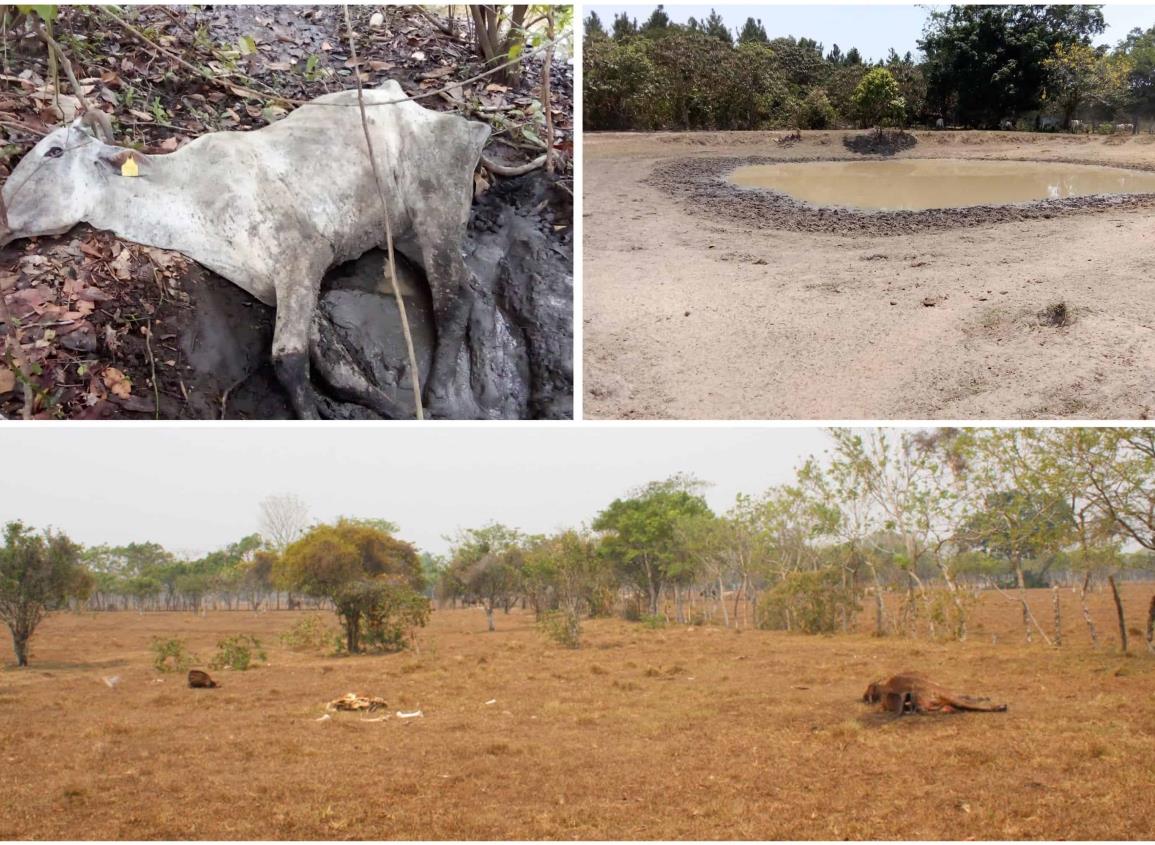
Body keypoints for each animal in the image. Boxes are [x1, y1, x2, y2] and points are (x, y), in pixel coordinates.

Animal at [0, 80, 489, 417]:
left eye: (54, 151)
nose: (2, 215)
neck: (189, 194)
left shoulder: (303, 252)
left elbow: (288, 361)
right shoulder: (272, 283)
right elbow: (338, 370)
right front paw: (390, 407)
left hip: (437, 205)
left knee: (455, 296)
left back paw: (438, 393)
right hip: (406, 234)